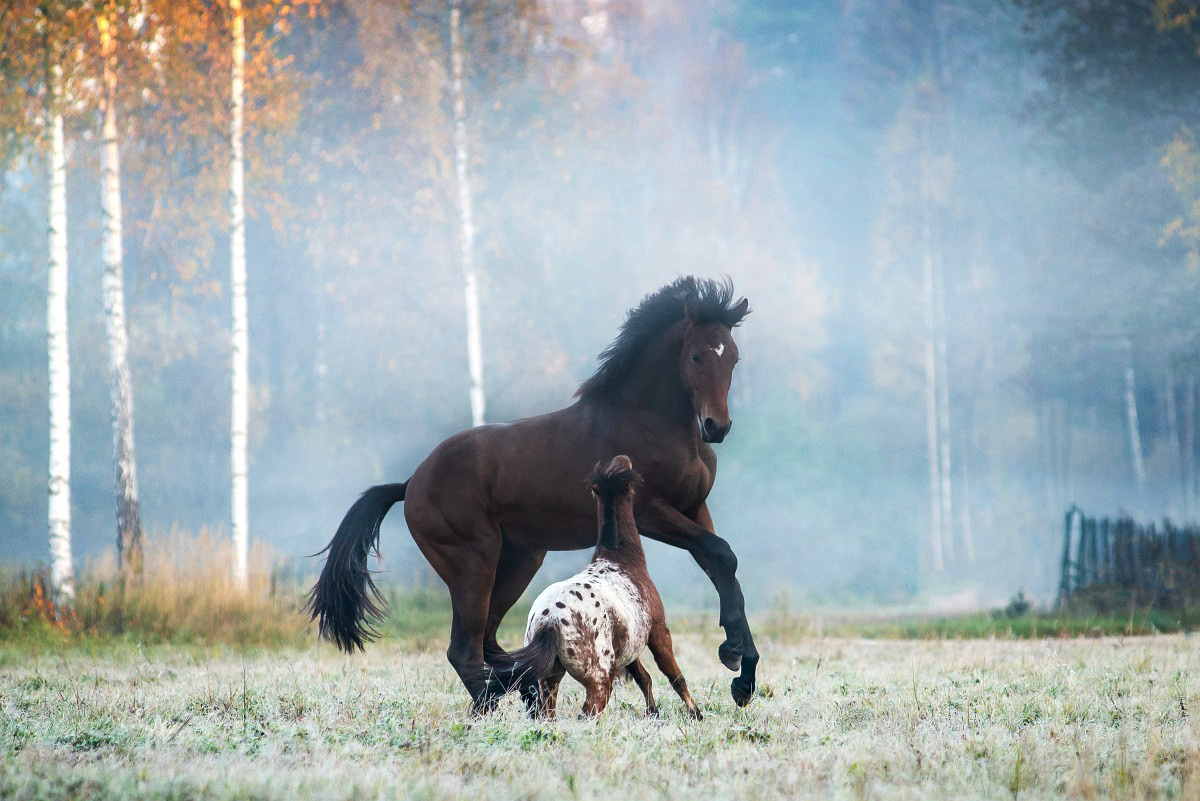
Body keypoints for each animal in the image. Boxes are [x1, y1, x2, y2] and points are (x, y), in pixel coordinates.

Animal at [507, 455, 702, 721]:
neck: (621, 559)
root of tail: (549, 621)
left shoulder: (630, 646)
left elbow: (643, 678)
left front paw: (653, 712)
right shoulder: (659, 633)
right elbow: (674, 676)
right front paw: (696, 713)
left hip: (550, 679)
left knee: (549, 713)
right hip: (598, 678)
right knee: (588, 712)